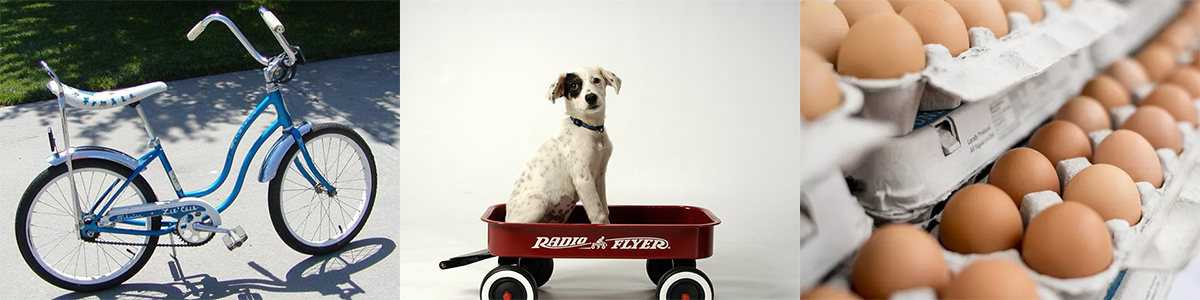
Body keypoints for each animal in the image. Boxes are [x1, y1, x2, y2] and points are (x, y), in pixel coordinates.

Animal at [504, 66, 624, 224]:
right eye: (574, 86)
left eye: (596, 80)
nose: (591, 97)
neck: (588, 127)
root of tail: (506, 218)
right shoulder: (583, 178)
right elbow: (598, 213)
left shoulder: (600, 175)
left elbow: (605, 208)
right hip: (539, 200)